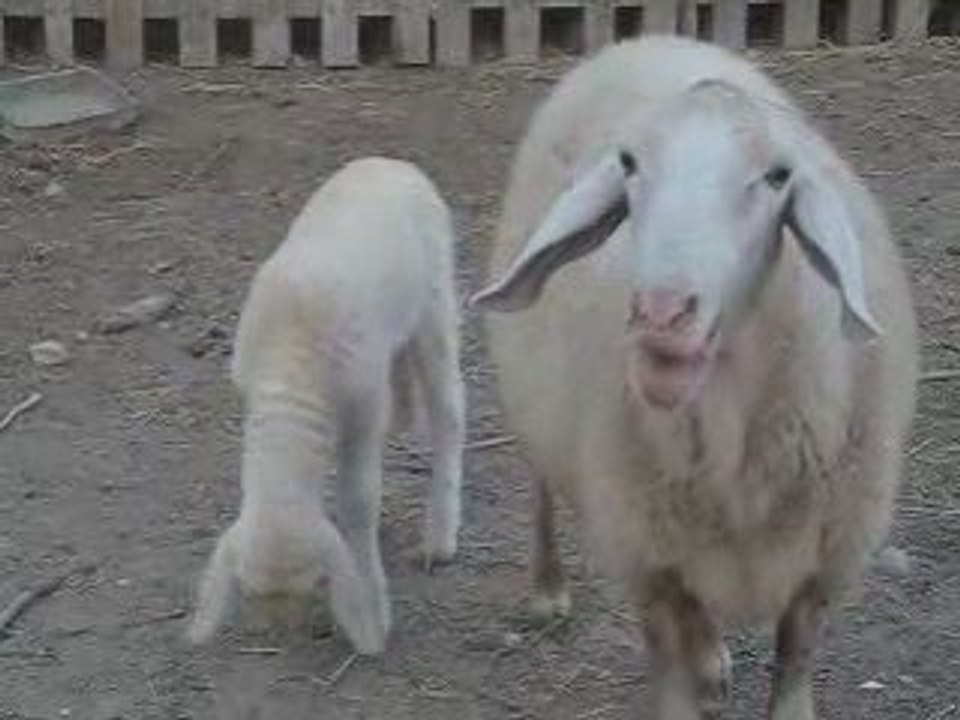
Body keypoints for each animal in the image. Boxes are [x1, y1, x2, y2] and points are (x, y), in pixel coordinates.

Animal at [187, 157, 466, 655]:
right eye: (247, 592)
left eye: (315, 585)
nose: (276, 635)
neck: (292, 376)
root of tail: (393, 163)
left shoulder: (364, 406)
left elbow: (358, 498)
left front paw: (371, 608)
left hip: (435, 292)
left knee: (448, 409)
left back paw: (440, 535)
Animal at [471, 35, 918, 719]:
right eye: (629, 163)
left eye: (778, 176)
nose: (661, 312)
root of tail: (649, 39)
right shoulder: (648, 564)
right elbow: (670, 669)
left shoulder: (824, 566)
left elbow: (794, 662)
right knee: (542, 479)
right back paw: (549, 589)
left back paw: (711, 658)